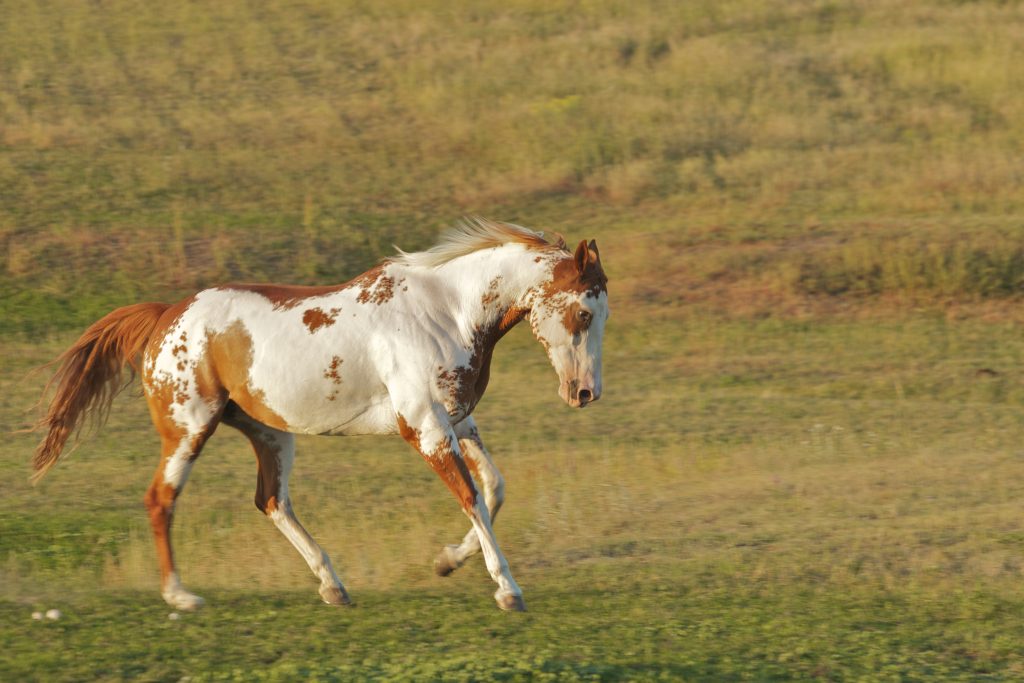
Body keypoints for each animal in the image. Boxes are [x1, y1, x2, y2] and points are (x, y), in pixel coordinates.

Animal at [29, 220, 606, 614]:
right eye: (583, 312)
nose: (585, 393)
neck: (445, 314)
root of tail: (166, 316)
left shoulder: (458, 422)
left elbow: (494, 489)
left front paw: (448, 560)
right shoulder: (424, 428)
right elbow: (471, 497)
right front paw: (507, 589)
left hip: (270, 434)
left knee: (271, 501)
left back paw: (333, 585)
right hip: (188, 429)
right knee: (160, 500)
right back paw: (180, 595)